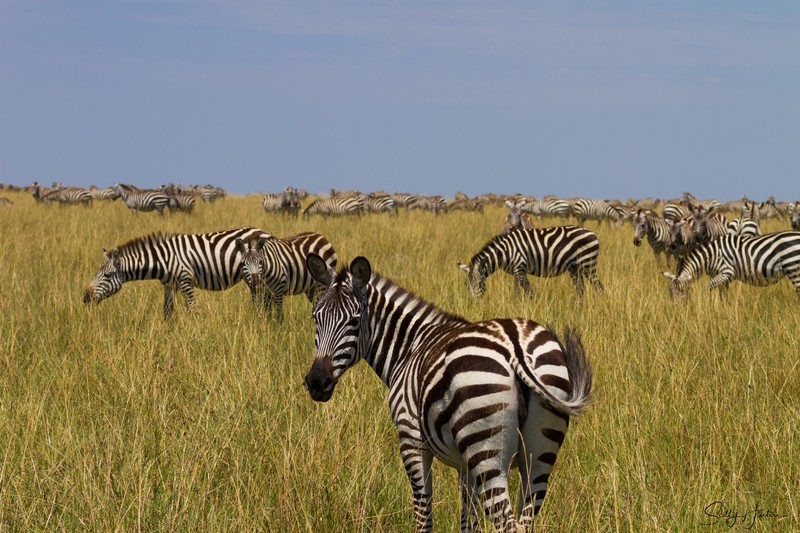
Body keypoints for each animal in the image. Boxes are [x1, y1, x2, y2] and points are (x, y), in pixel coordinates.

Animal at [84, 226, 268, 318]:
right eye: (97, 273)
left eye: (107, 276)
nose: (86, 297)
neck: (163, 260)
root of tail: (262, 230)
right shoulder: (169, 285)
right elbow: (167, 311)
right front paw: (168, 335)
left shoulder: (185, 281)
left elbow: (192, 310)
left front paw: (196, 335)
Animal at [303, 255, 592, 532]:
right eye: (315, 318)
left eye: (354, 321)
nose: (317, 382)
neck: (410, 348)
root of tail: (515, 346)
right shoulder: (466, 466)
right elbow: (468, 520)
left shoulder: (411, 440)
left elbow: (423, 513)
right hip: (538, 455)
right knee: (526, 517)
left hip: (487, 449)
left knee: (509, 524)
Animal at [458, 226, 603, 298]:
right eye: (466, 284)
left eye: (480, 283)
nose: (474, 304)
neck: (504, 252)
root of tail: (592, 233)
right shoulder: (520, 271)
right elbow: (529, 290)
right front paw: (532, 306)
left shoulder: (518, 267)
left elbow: (518, 292)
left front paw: (516, 308)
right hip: (574, 267)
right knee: (581, 289)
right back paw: (579, 307)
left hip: (587, 263)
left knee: (599, 286)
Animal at [662, 232, 800, 299]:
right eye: (670, 293)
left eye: (681, 291)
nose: (676, 311)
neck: (710, 256)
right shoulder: (725, 279)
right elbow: (724, 296)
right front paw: (725, 312)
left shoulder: (726, 272)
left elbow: (706, 288)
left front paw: (708, 305)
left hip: (793, 268)